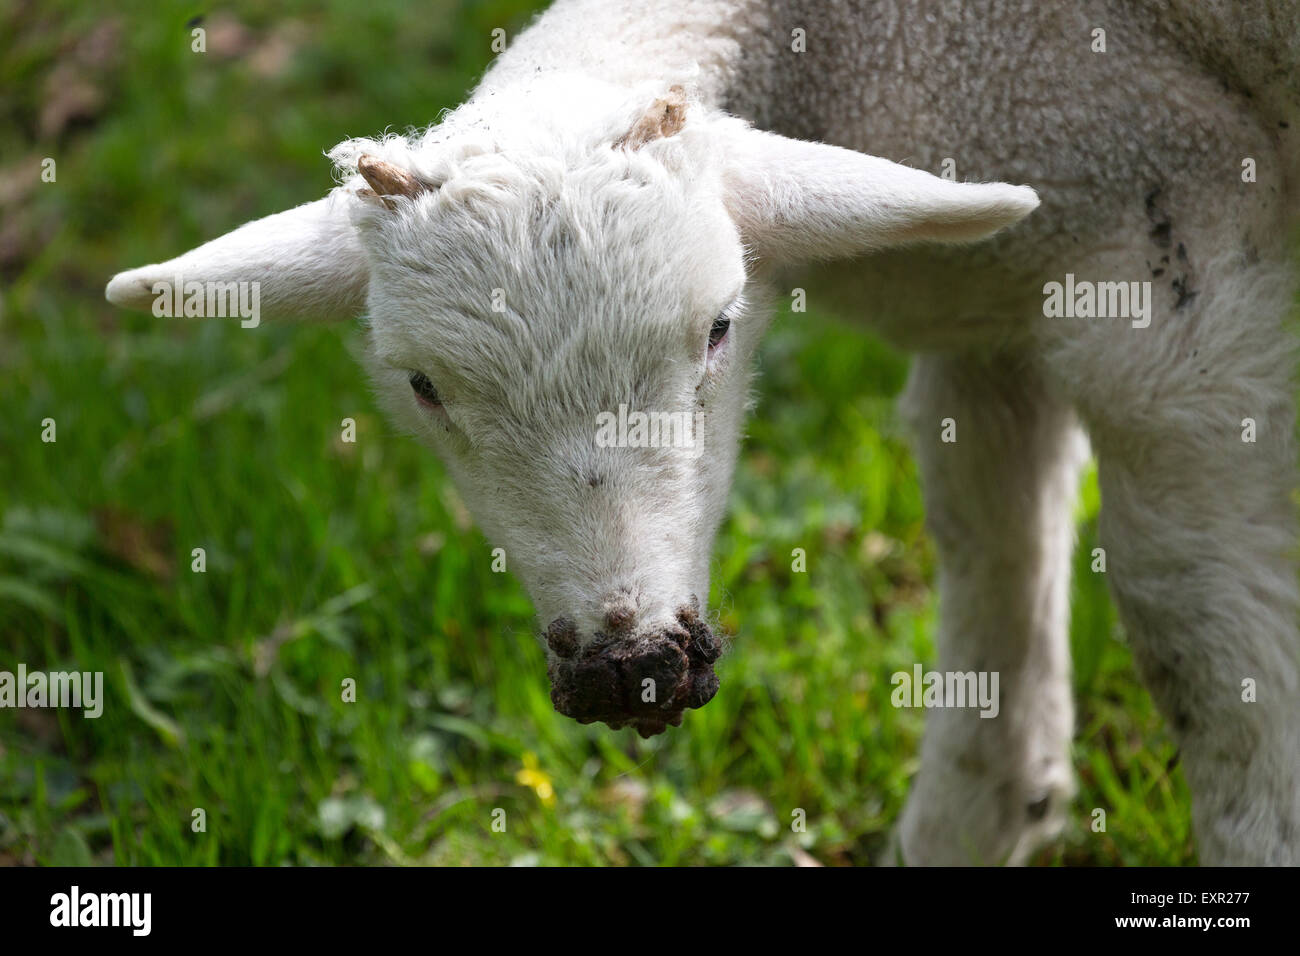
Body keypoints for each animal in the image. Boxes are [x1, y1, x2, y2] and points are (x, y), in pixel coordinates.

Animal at [104, 1, 1300, 868]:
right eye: (423, 387)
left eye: (721, 326)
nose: (628, 666)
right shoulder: (994, 307)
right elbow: (985, 533)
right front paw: (988, 813)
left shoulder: (1170, 286)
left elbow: (1194, 633)